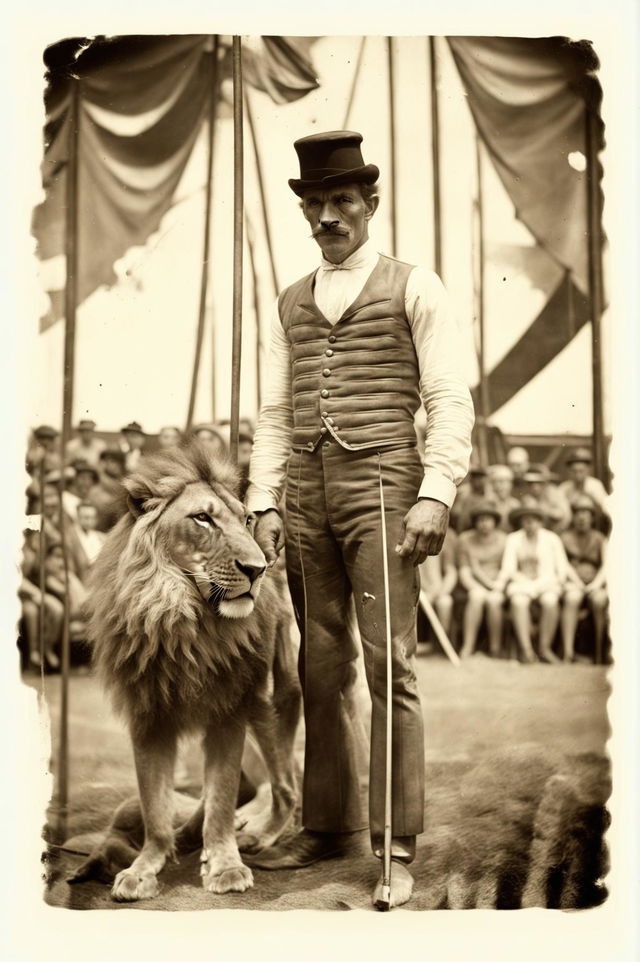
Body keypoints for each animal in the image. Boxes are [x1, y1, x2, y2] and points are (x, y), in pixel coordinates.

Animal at [66, 442, 302, 900]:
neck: (181, 619)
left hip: (269, 702)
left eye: (246, 518)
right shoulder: (148, 717)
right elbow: (155, 805)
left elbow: (223, 794)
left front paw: (226, 864)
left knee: (286, 787)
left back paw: (258, 835)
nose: (258, 568)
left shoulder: (231, 710)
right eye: (202, 518)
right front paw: (144, 868)